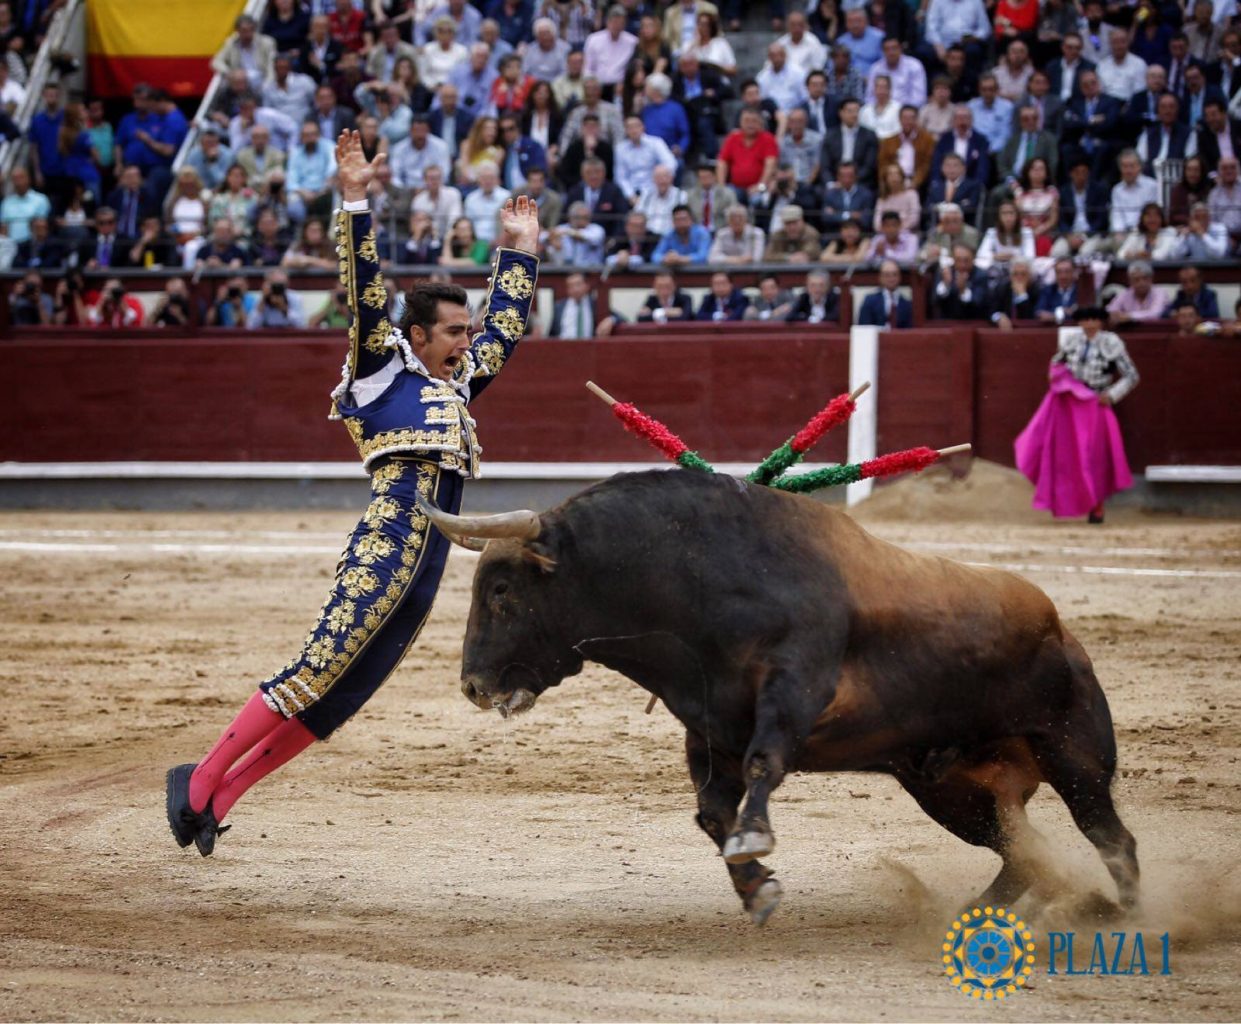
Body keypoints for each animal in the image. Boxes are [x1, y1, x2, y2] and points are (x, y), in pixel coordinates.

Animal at [421, 471, 1136, 928]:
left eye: (502, 591)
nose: (473, 686)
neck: (692, 582)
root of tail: (1061, 629)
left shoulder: (793, 689)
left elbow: (764, 767)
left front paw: (754, 840)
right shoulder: (709, 729)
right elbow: (712, 814)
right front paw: (757, 890)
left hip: (1074, 756)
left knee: (1109, 838)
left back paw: (1124, 916)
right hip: (947, 787)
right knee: (1023, 852)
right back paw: (977, 916)